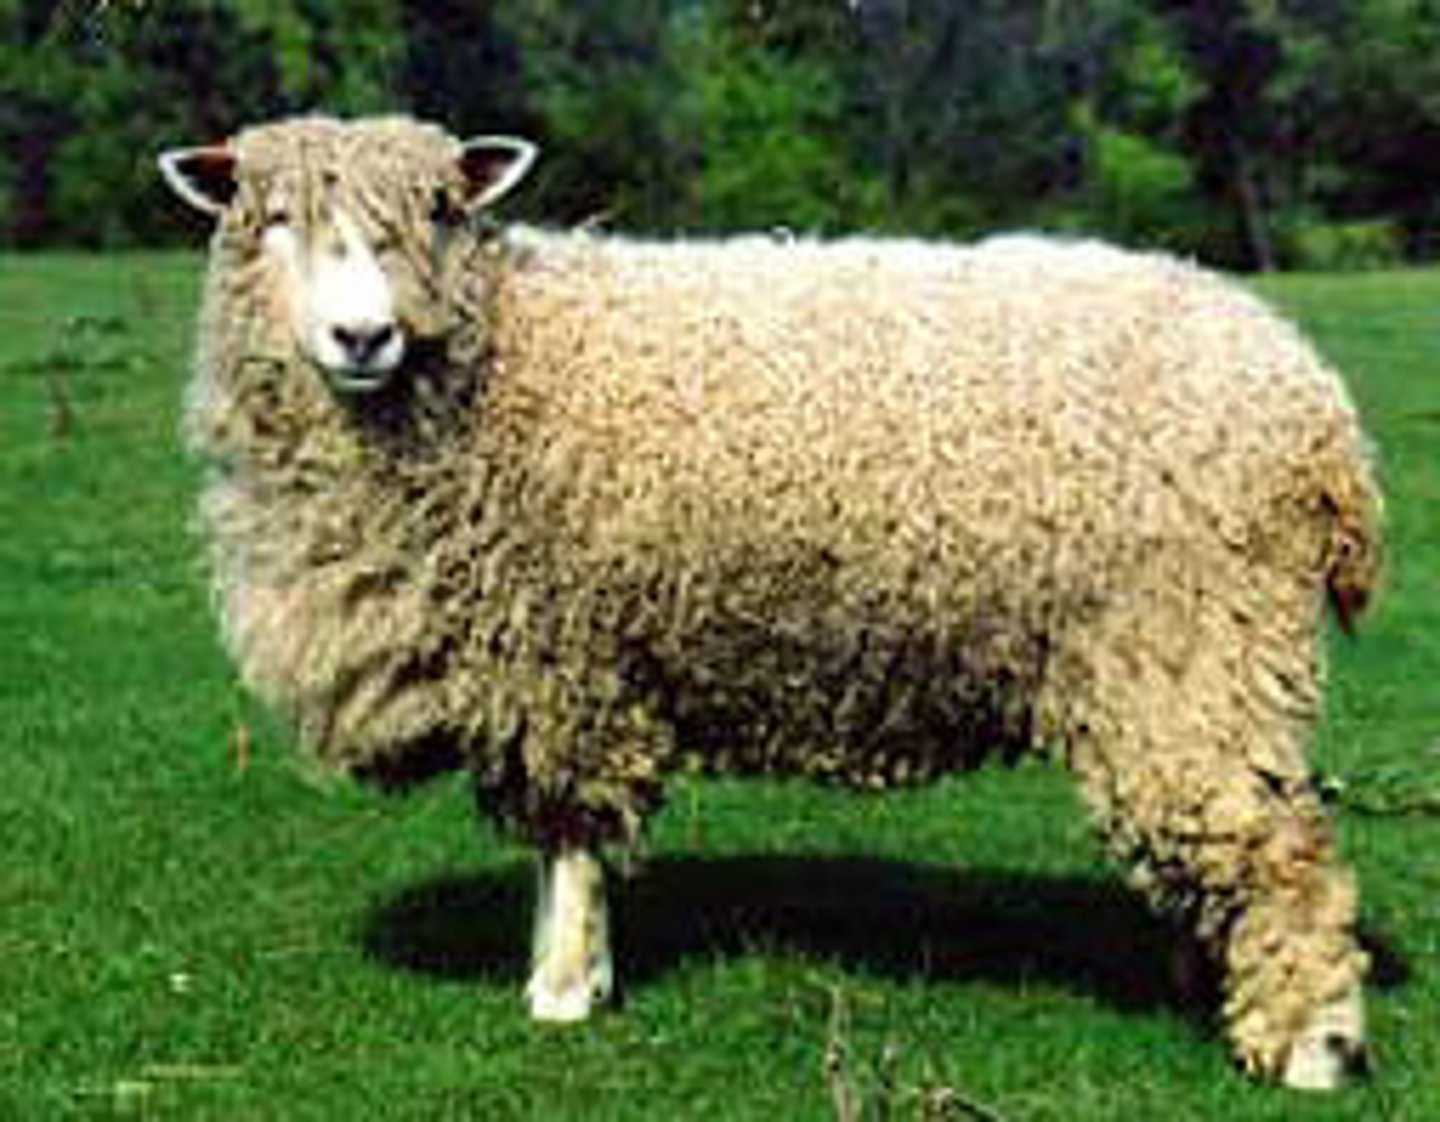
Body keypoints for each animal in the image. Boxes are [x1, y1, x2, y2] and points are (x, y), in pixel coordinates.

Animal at [159, 114, 1383, 1091]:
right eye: (272, 220)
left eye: (440, 211)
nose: (363, 337)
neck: (505, 360)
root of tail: (1318, 404)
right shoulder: (549, 657)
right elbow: (566, 838)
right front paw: (573, 970)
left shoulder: (566, 652)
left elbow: (570, 834)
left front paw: (562, 990)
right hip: (1190, 668)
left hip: (1195, 642)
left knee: (1286, 853)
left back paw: (1310, 1047)